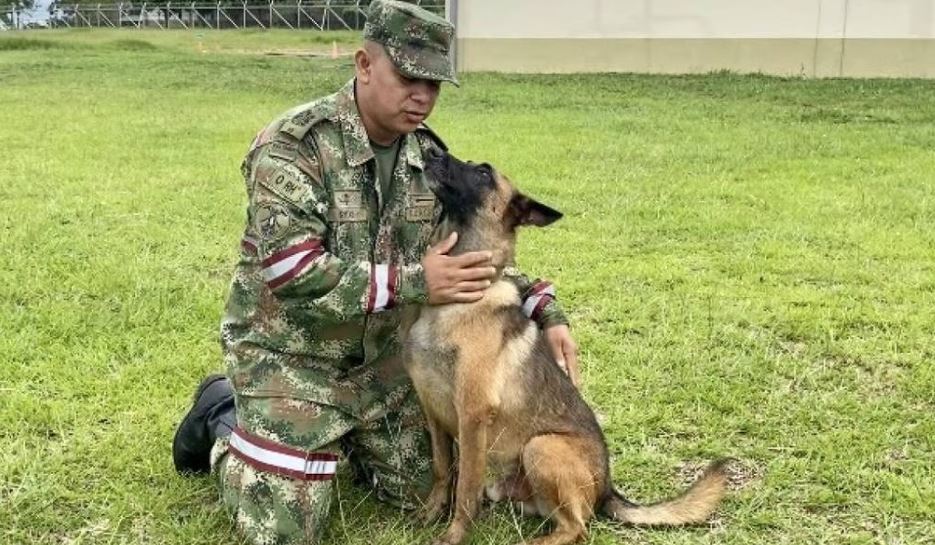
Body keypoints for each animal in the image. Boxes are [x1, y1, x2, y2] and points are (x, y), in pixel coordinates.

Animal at [402, 151, 732, 544]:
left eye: (482, 173)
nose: (431, 152)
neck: (453, 303)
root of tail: (607, 486)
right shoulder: (433, 412)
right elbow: (443, 470)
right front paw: (427, 515)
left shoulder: (472, 416)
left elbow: (465, 487)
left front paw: (452, 535)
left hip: (542, 446)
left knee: (577, 528)